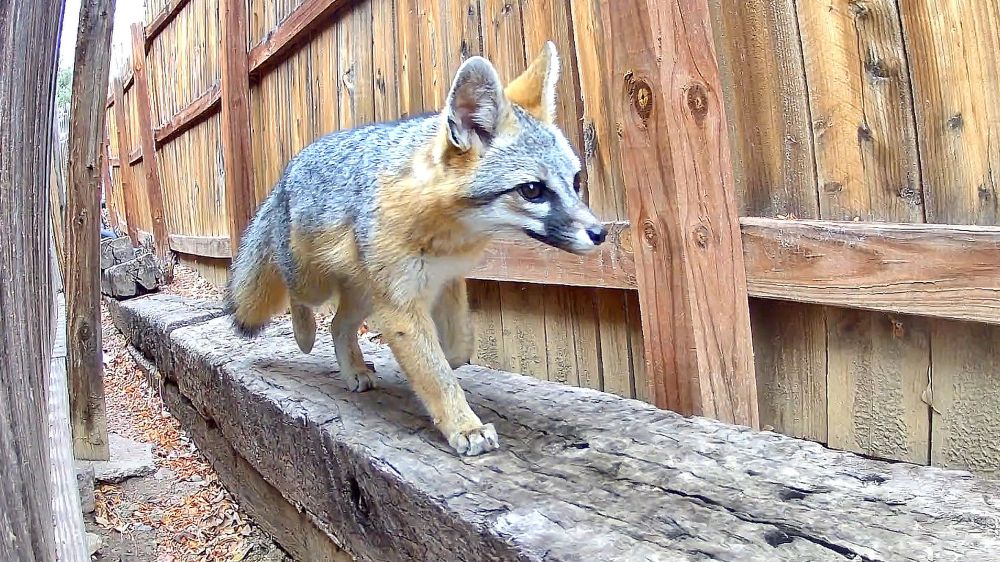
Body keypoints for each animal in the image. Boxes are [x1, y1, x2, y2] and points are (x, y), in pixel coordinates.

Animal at [223, 42, 607, 457]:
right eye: (533, 190)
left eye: (576, 182)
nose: (601, 233)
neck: (445, 232)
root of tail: (283, 177)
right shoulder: (401, 306)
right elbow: (435, 372)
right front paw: (464, 426)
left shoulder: (446, 280)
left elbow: (456, 351)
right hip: (317, 283)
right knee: (302, 300)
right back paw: (305, 335)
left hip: (364, 293)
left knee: (339, 324)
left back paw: (354, 370)